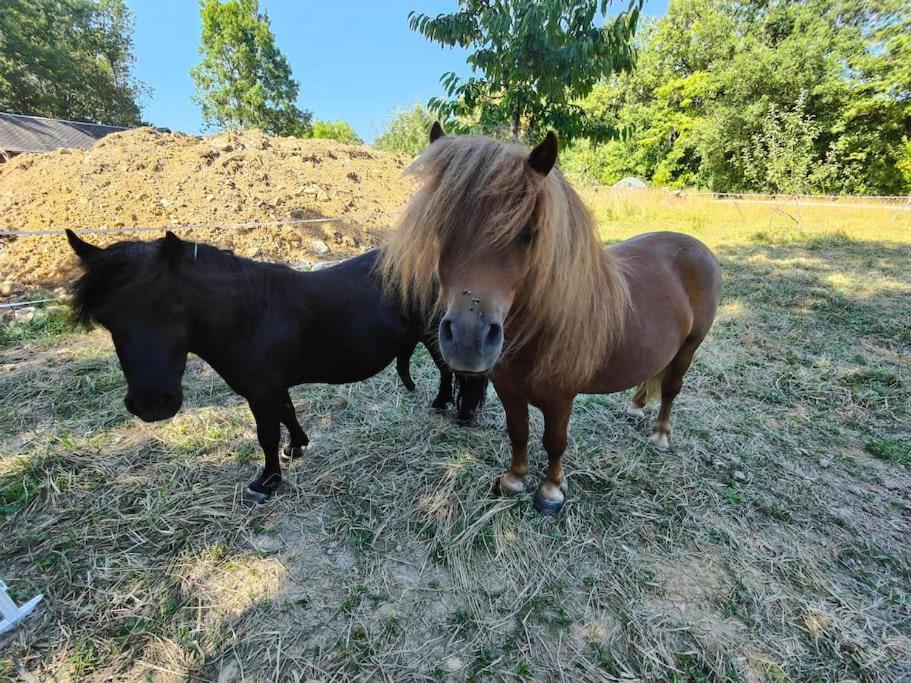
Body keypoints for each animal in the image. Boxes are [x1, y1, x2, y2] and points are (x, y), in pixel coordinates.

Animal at [66, 232, 484, 504]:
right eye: (105, 319)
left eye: (170, 307)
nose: (152, 404)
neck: (250, 314)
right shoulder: (271, 387)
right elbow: (288, 412)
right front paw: (296, 446)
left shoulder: (260, 391)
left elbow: (266, 434)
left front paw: (266, 481)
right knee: (445, 370)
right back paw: (441, 403)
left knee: (463, 374)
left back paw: (463, 414)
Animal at [382, 127, 724, 512]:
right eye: (440, 228)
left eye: (529, 233)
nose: (469, 342)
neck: (538, 330)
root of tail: (697, 247)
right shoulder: (508, 390)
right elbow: (518, 432)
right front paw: (514, 480)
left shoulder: (561, 400)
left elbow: (554, 441)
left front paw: (550, 491)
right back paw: (635, 407)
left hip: (689, 348)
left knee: (671, 388)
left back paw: (661, 435)